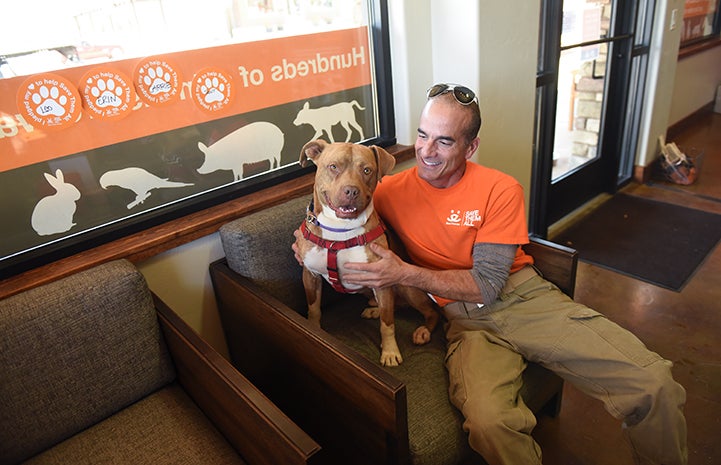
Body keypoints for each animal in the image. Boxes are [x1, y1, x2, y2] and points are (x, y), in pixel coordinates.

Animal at [294, 140, 438, 364]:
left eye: (367, 170)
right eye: (333, 166)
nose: (351, 191)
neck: (339, 232)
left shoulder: (383, 282)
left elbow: (388, 324)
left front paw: (390, 352)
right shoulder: (310, 275)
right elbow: (314, 308)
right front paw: (314, 329)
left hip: (406, 286)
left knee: (429, 312)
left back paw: (423, 331)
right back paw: (374, 310)